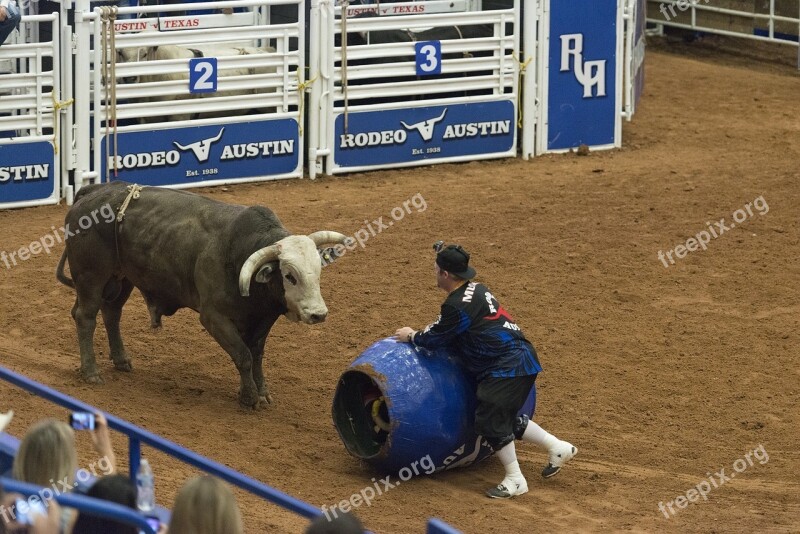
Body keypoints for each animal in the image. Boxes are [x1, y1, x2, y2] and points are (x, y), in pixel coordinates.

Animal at [55, 182, 344, 412]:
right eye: (289, 276)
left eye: (318, 271)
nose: (318, 314)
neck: (238, 254)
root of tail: (94, 191)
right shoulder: (214, 317)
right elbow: (244, 356)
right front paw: (249, 398)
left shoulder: (261, 319)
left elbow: (257, 355)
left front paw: (261, 393)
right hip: (91, 277)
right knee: (85, 317)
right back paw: (91, 372)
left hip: (122, 277)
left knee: (112, 313)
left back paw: (121, 360)